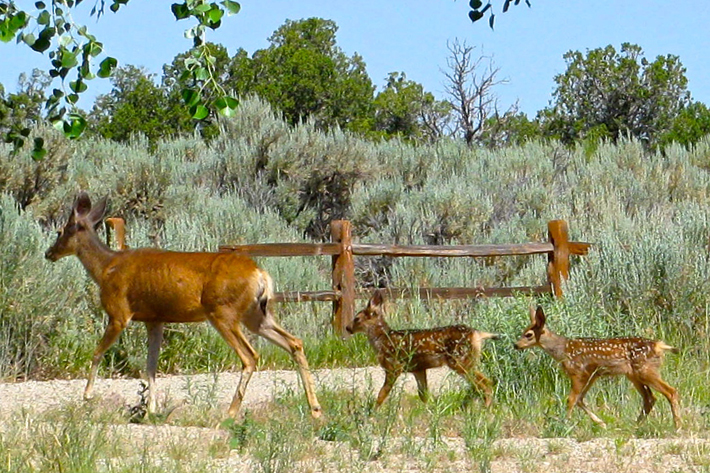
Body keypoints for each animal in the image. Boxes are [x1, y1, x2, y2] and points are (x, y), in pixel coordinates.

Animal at [44, 190, 322, 418]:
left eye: (60, 231)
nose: (49, 253)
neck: (105, 268)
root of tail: (260, 274)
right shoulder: (155, 320)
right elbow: (151, 366)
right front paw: (151, 410)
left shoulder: (119, 313)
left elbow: (98, 352)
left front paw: (87, 395)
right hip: (256, 314)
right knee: (294, 342)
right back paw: (315, 409)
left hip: (224, 312)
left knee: (250, 356)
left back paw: (230, 413)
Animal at [348, 290, 498, 408]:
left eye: (357, 319)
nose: (347, 328)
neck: (383, 339)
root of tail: (477, 334)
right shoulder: (418, 369)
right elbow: (423, 395)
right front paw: (429, 412)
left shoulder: (394, 366)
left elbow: (382, 393)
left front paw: (373, 413)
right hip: (465, 360)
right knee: (485, 382)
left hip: (460, 359)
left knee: (485, 383)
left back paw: (485, 408)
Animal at [516, 304, 680, 430]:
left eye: (528, 334)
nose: (515, 345)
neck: (562, 351)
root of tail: (659, 345)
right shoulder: (592, 375)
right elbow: (580, 399)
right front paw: (602, 423)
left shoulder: (579, 372)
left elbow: (571, 399)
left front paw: (565, 424)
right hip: (634, 374)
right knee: (650, 398)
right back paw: (635, 425)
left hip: (645, 370)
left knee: (670, 391)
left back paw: (677, 426)